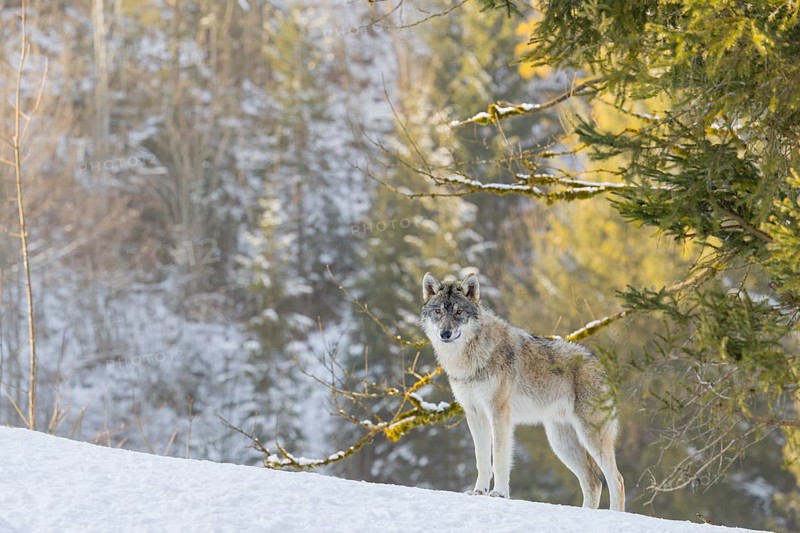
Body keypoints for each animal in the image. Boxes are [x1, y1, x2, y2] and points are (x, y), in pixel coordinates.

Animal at [420, 272, 625, 511]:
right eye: (438, 311)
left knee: (616, 480)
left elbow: (499, 459)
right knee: (593, 482)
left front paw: (499, 494)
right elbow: (482, 460)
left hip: (590, 436)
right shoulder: (475, 414)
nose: (445, 333)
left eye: (459, 312)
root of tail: (600, 364)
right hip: (561, 443)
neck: (470, 359)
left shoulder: (499, 414)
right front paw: (479, 492)